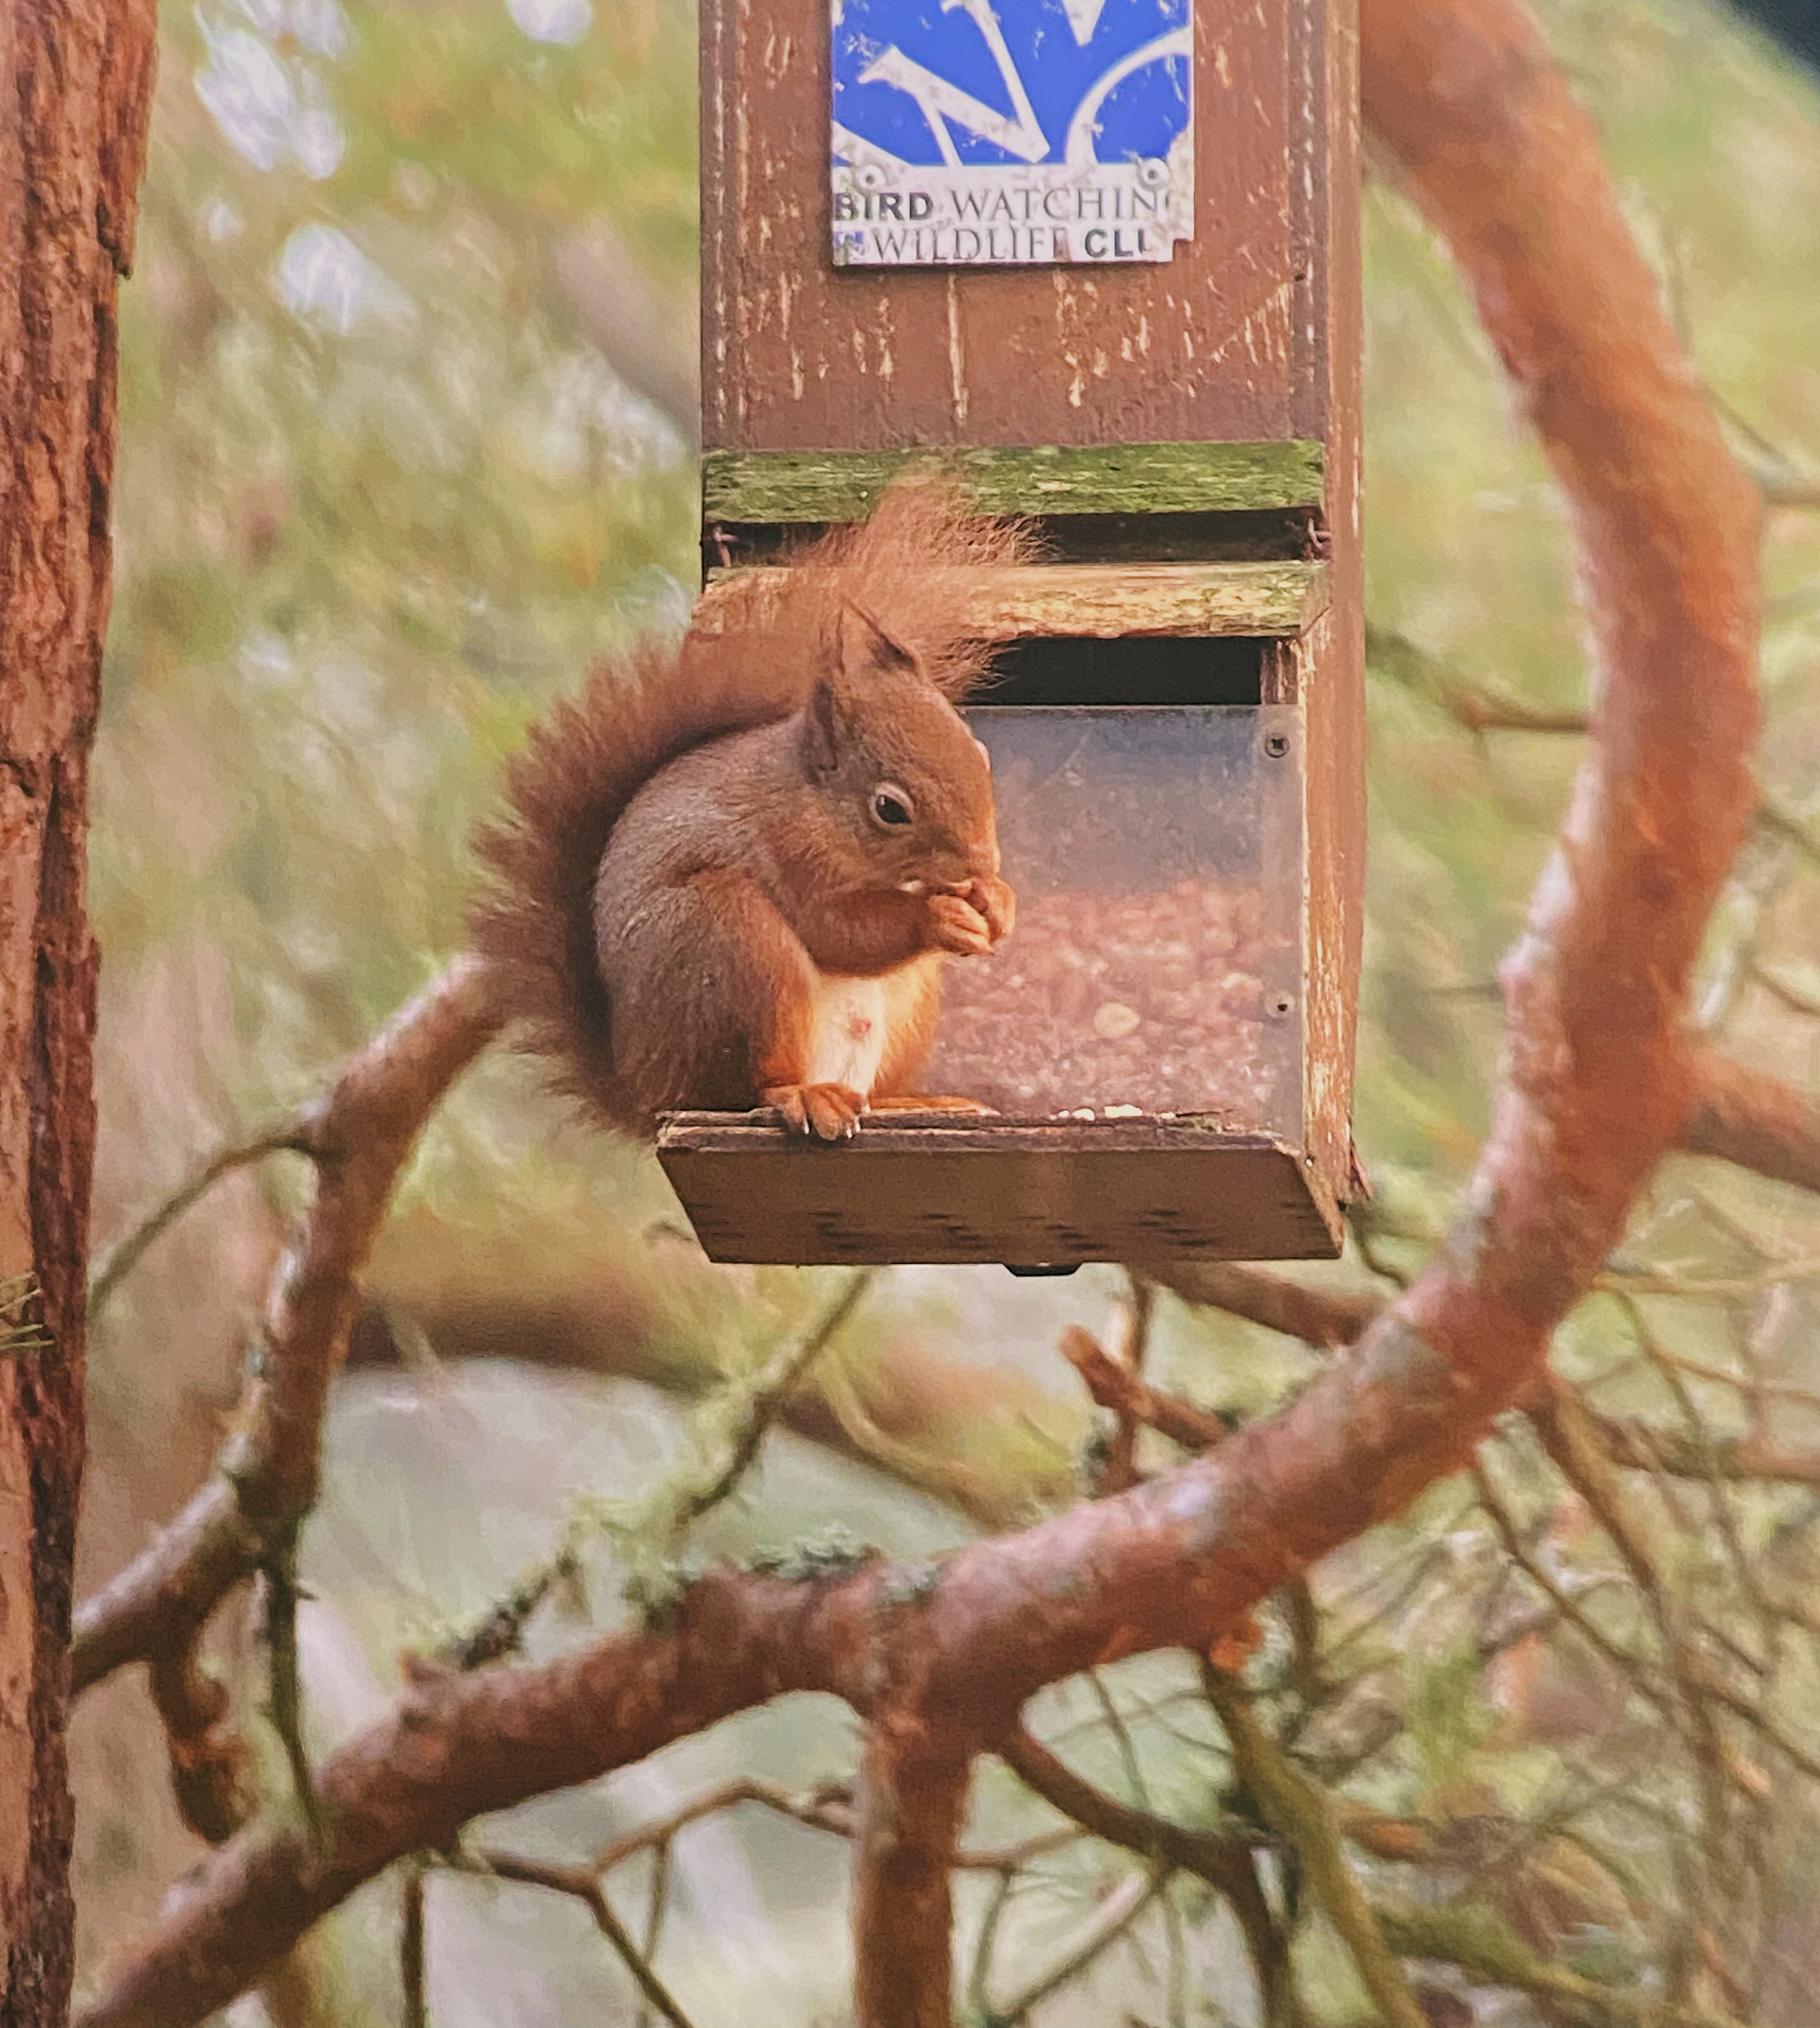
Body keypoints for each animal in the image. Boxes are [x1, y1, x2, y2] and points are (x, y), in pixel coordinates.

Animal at [472, 478, 1028, 1142]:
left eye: (980, 754)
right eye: (889, 809)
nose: (981, 861)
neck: (813, 803)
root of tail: (648, 1088)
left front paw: (997, 902)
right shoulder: (783, 849)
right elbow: (838, 933)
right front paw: (938, 918)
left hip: (906, 1006)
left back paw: (913, 1104)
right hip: (728, 943)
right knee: (749, 1088)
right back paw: (803, 1096)